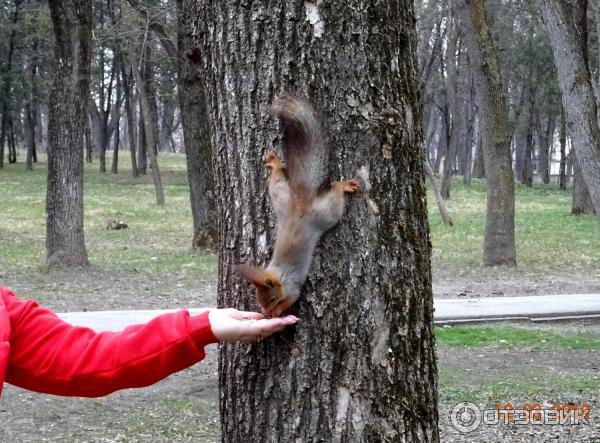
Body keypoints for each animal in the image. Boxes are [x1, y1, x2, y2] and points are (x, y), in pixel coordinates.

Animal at [232, 96, 358, 320]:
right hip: (280, 196)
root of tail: (300, 200)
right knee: (277, 177)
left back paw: (344, 186)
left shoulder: (292, 290)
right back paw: (275, 163)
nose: (267, 311)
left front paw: (277, 312)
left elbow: (291, 299)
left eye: (273, 299)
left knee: (335, 193)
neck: (278, 274)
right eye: (259, 299)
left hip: (325, 213)